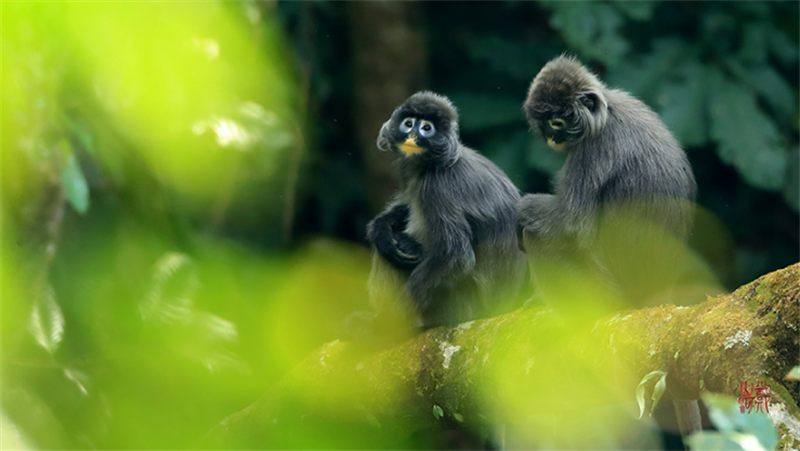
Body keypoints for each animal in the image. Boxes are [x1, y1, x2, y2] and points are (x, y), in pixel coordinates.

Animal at [364, 91, 528, 328]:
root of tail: (497, 310)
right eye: (408, 124)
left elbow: (454, 256)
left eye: (427, 128)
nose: (412, 136)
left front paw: (386, 324)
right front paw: (380, 227)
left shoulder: (437, 187)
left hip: (459, 306)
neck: (436, 163)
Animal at [520, 55, 700, 444]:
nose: (553, 135)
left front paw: (521, 209)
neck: (609, 112)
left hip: (604, 293)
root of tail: (654, 296)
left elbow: (571, 225)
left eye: (558, 121)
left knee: (538, 237)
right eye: (547, 123)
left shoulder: (595, 148)